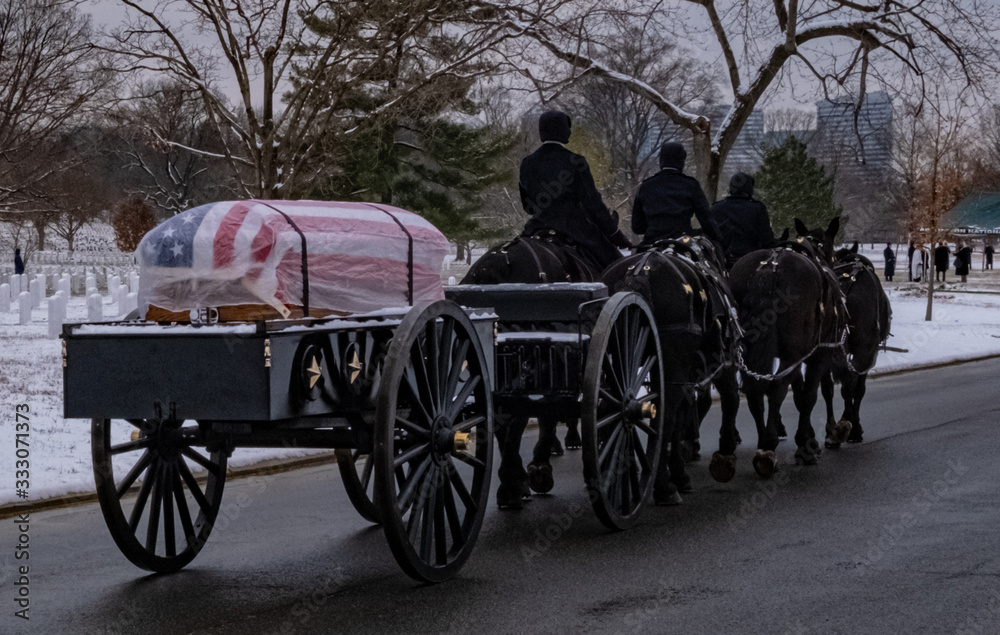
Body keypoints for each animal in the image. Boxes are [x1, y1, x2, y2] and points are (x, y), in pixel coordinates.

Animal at [600, 236, 744, 500]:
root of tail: (639, 272)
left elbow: (682, 417)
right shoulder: (718, 360)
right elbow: (728, 399)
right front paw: (724, 452)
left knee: (610, 407)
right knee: (664, 416)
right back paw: (662, 485)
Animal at [732, 217, 848, 476]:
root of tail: (769, 267)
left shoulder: (798, 356)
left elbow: (799, 393)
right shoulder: (818, 353)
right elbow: (810, 395)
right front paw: (806, 443)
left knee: (755, 393)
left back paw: (763, 441)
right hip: (794, 353)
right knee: (776, 391)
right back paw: (768, 447)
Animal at [824, 242, 896, 448]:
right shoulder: (870, 352)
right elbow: (858, 388)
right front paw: (854, 426)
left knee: (831, 387)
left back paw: (834, 429)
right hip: (865, 349)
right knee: (848, 383)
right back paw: (844, 428)